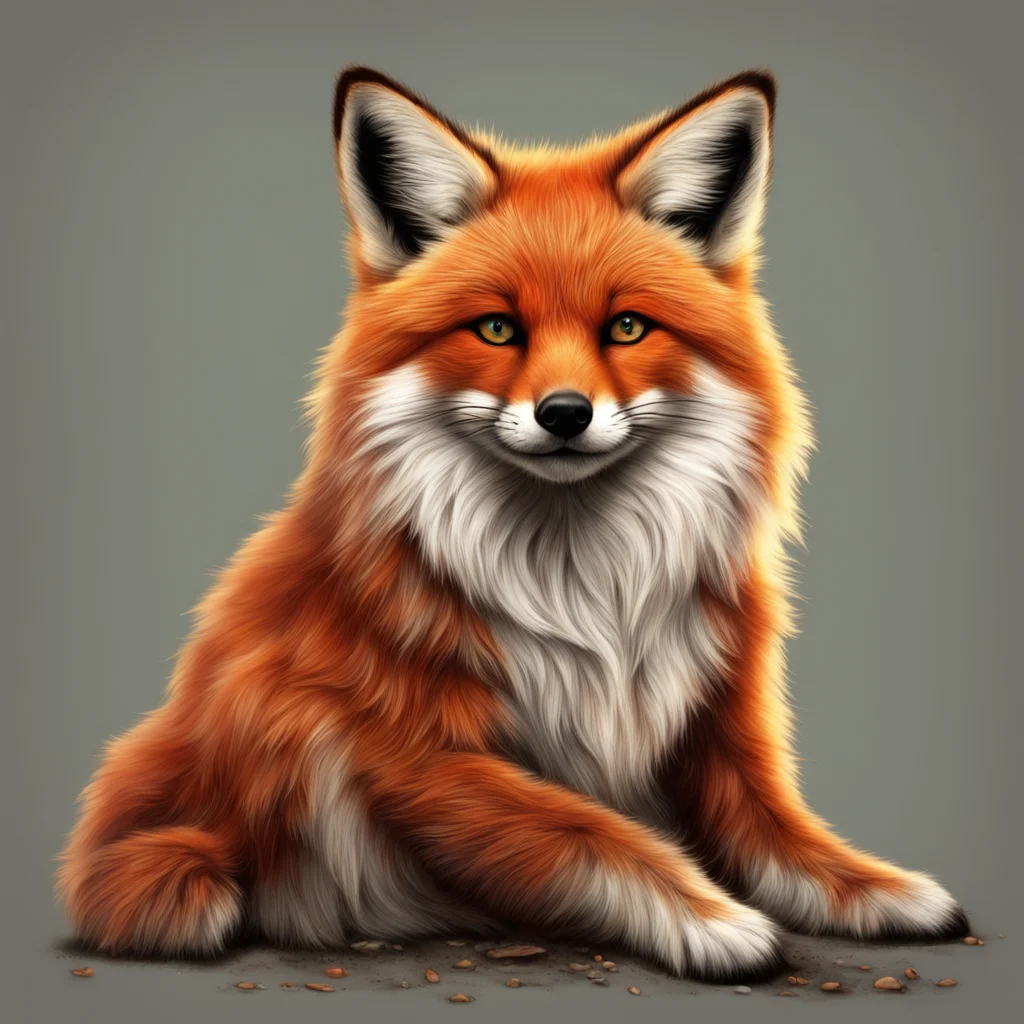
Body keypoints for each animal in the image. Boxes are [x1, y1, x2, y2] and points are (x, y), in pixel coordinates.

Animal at [57, 66, 969, 983]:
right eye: (497, 328)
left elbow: (777, 823)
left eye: (626, 326)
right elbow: (590, 831)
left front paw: (872, 886)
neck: (585, 591)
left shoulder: (719, 701)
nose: (564, 413)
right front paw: (713, 918)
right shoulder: (402, 750)